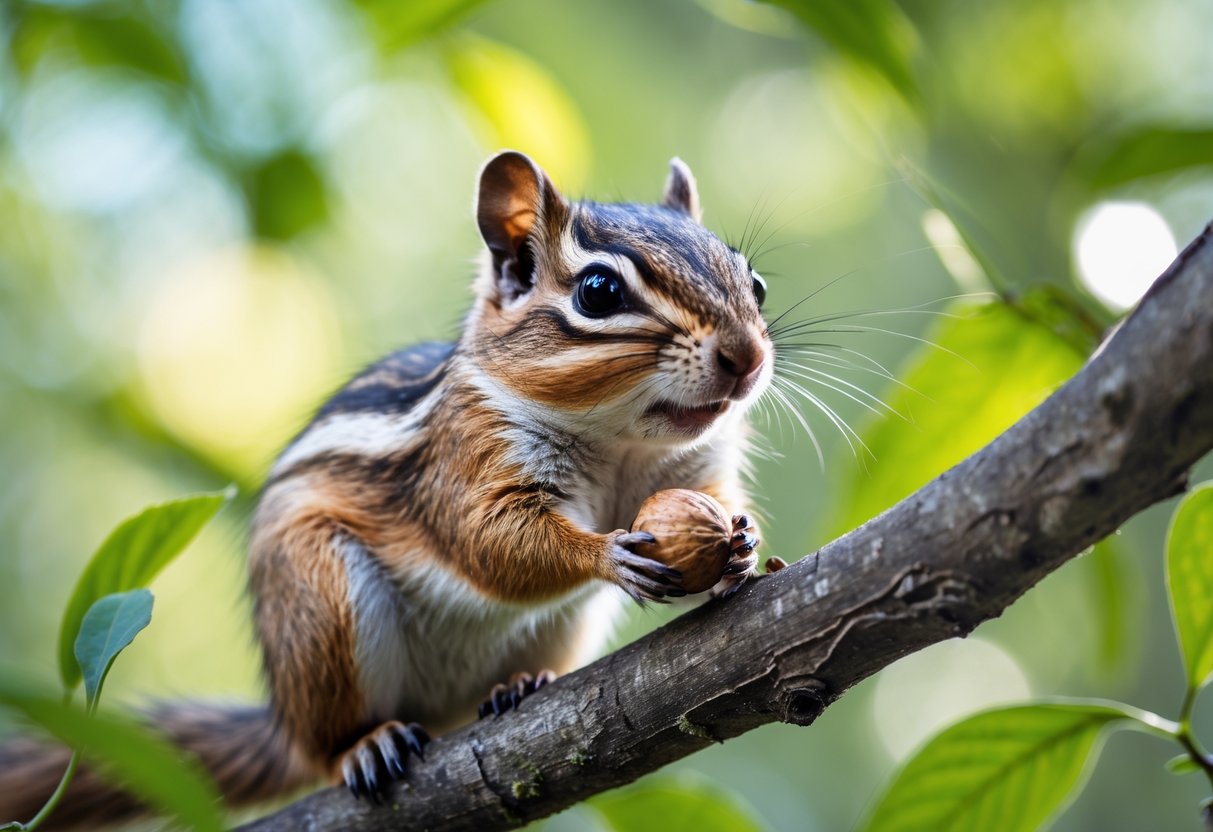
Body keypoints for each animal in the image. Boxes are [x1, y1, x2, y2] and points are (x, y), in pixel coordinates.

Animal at [0, 151, 772, 828]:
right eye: (599, 292)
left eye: (754, 285)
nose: (747, 356)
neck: (620, 444)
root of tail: (284, 721)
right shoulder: (463, 460)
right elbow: (492, 543)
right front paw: (605, 553)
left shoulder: (693, 471)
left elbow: (712, 501)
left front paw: (743, 541)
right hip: (317, 598)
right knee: (327, 743)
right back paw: (363, 745)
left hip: (558, 629)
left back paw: (520, 686)